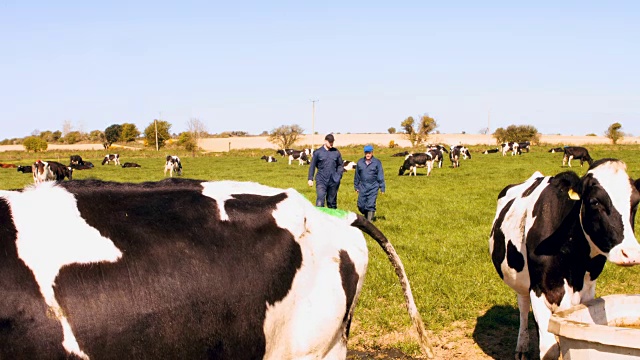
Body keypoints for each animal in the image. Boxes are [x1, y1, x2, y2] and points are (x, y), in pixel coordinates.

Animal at [490, 160, 640, 360]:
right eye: (594, 202)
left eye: (636, 203)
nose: (631, 254)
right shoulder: (539, 290)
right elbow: (550, 349)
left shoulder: (587, 291)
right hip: (521, 279)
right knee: (523, 306)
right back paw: (521, 348)